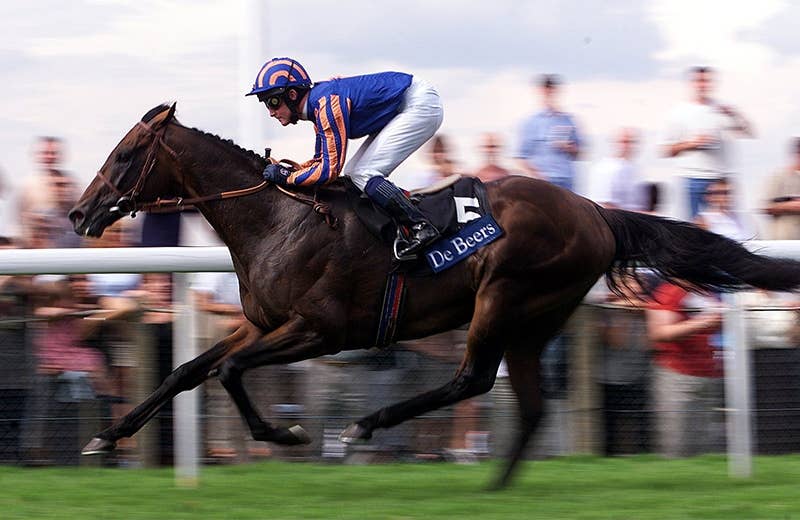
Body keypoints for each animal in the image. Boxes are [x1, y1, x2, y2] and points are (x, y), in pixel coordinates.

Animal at [68, 103, 800, 488]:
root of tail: (595, 210)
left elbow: (228, 373)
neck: (280, 220)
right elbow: (188, 370)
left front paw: (289, 432)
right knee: (529, 403)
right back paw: (495, 486)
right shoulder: (262, 323)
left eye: (126, 154)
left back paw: (366, 427)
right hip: (536, 317)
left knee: (472, 380)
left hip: (505, 296)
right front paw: (105, 437)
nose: (79, 214)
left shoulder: (320, 330)